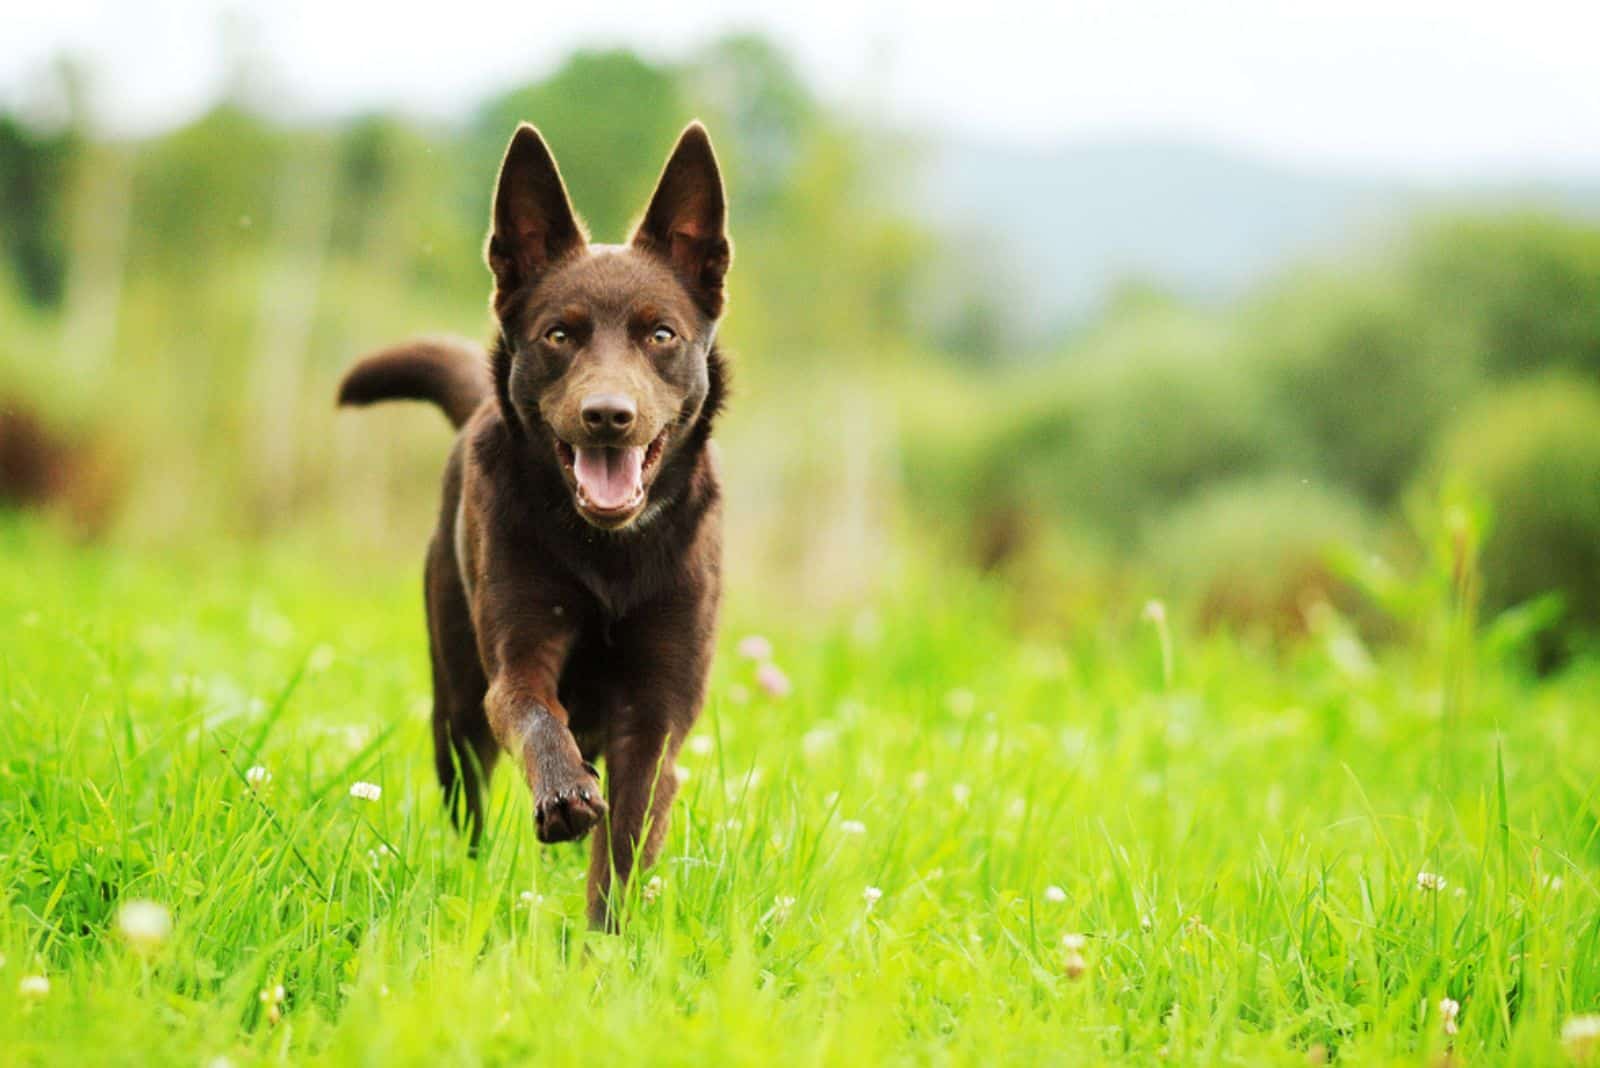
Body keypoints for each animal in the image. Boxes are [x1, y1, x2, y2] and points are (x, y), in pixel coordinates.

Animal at [340, 123, 732, 927]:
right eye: (558, 335)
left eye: (661, 335)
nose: (608, 416)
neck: (609, 556)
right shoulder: (517, 657)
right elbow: (531, 711)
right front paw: (563, 792)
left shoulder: (657, 713)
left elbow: (624, 844)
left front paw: (606, 943)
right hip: (454, 700)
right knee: (470, 798)